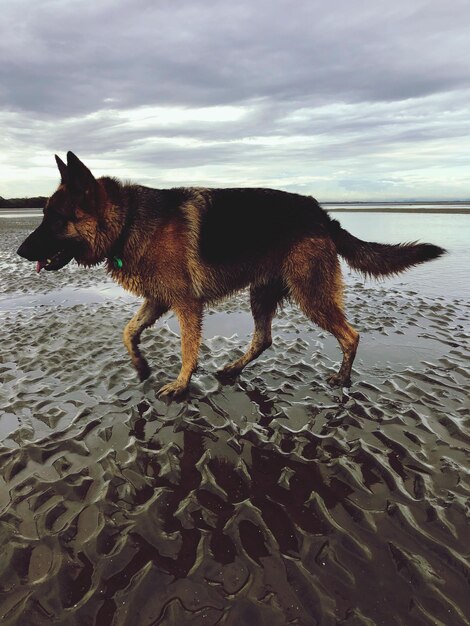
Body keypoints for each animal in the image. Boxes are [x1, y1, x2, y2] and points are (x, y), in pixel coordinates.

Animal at [16, 151, 446, 394]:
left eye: (54, 219)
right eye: (43, 214)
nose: (18, 251)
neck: (128, 220)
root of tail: (320, 212)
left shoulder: (186, 305)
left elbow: (187, 349)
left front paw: (181, 384)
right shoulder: (157, 300)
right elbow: (127, 332)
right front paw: (140, 365)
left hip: (310, 294)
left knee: (351, 335)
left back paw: (342, 378)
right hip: (263, 292)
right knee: (264, 339)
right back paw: (232, 370)